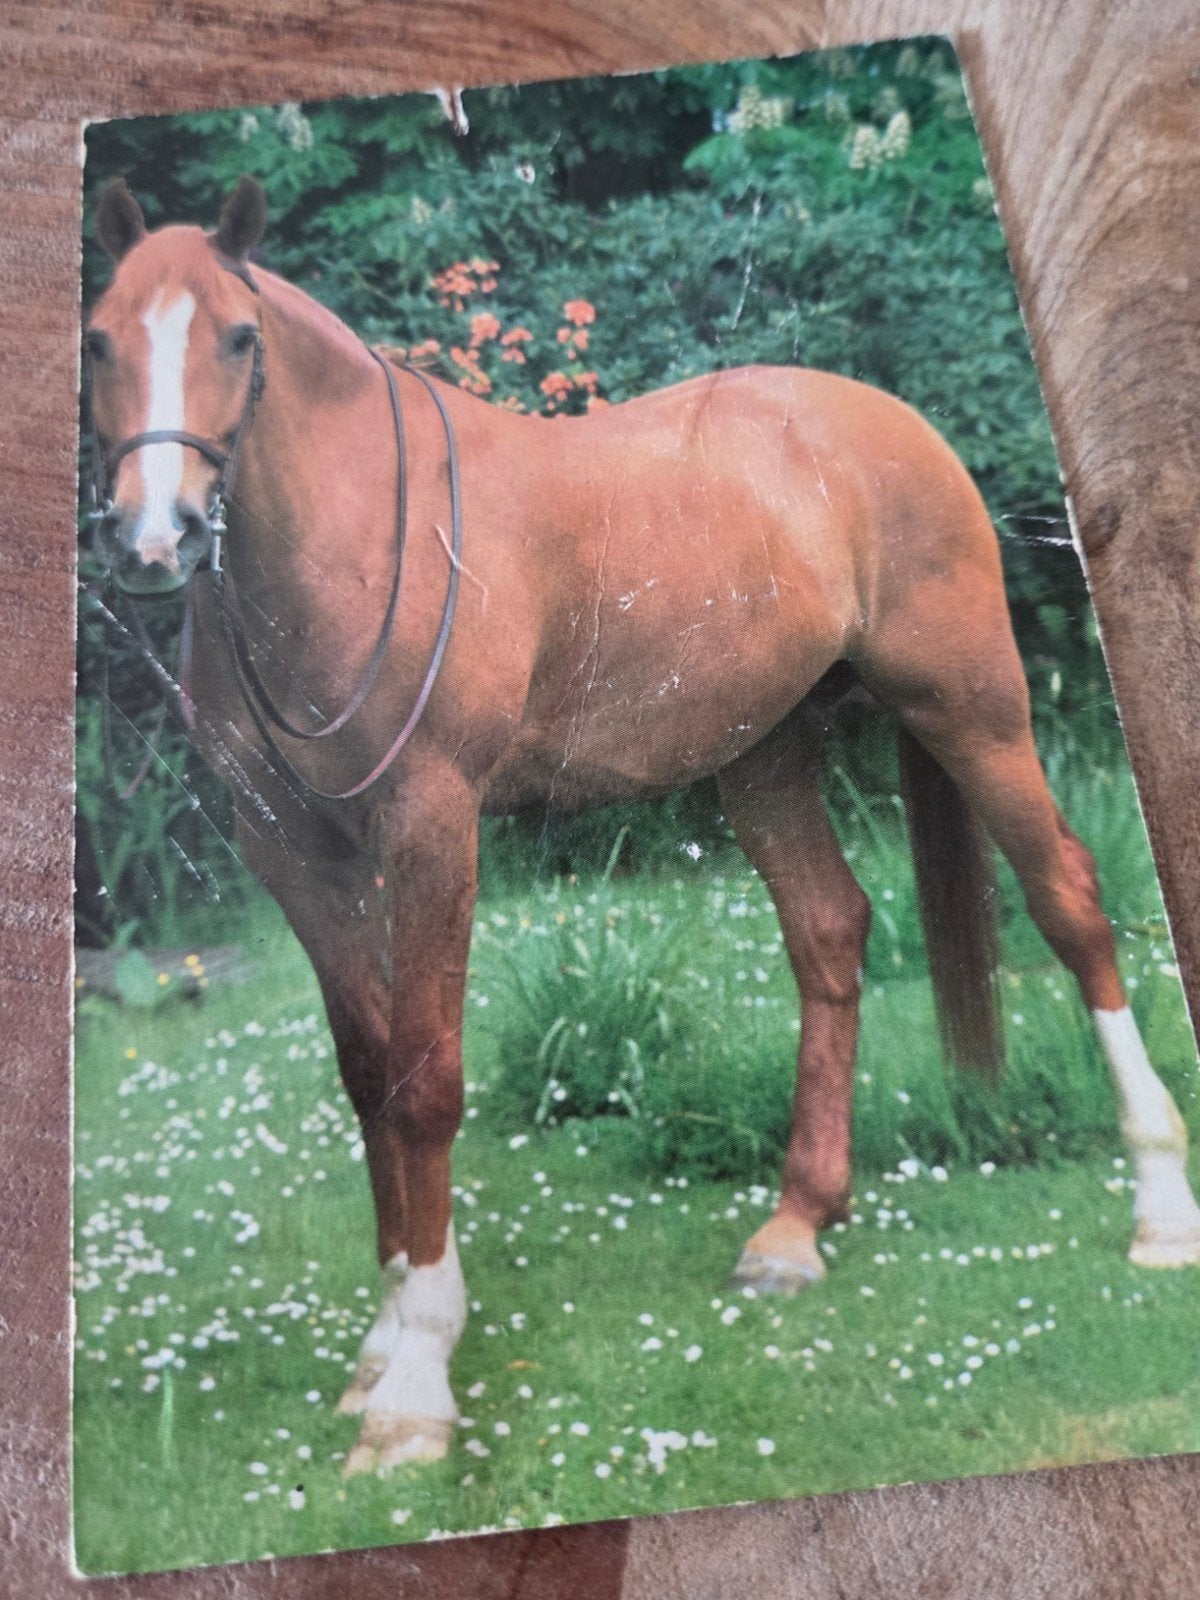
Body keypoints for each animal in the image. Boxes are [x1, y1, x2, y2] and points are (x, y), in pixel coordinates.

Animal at [84, 175, 1200, 1475]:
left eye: (237, 339)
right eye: (100, 339)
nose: (153, 538)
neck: (355, 550)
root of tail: (883, 421)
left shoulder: (432, 826)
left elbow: (425, 1081)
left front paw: (416, 1383)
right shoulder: (299, 857)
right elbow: (369, 1074)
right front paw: (382, 1344)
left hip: (970, 708)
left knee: (1070, 901)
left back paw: (1159, 1204)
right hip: (765, 754)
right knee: (830, 931)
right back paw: (796, 1226)